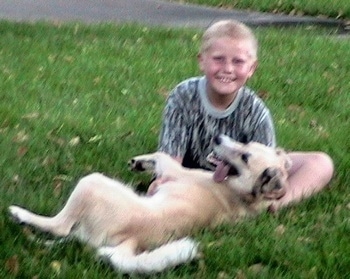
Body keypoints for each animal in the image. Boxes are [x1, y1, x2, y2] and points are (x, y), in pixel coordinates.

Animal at [9, 135, 292, 274]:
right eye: (246, 144)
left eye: (245, 156)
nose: (219, 139)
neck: (242, 194)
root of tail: (133, 242)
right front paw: (141, 163)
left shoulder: (176, 171)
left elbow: (162, 155)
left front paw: (141, 161)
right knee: (73, 238)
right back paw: (43, 243)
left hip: (91, 183)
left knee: (62, 226)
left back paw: (20, 215)